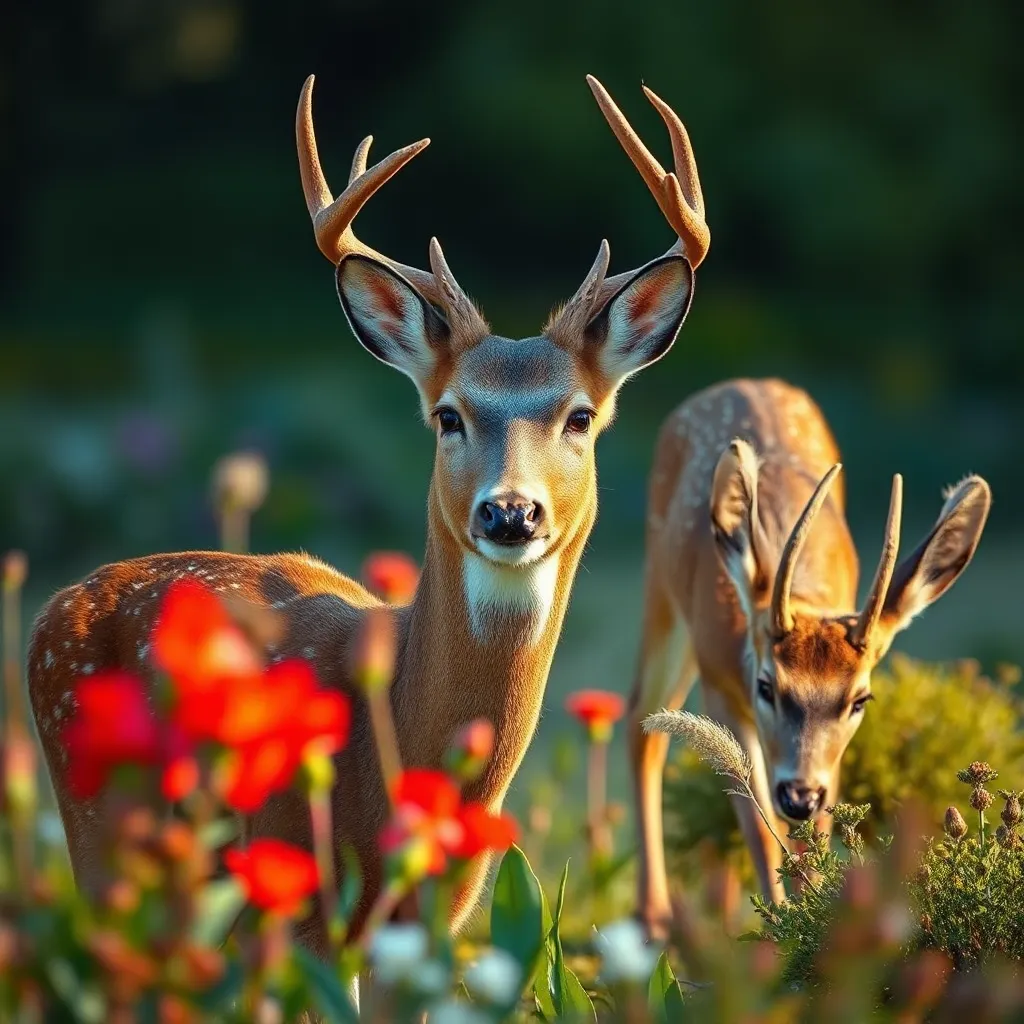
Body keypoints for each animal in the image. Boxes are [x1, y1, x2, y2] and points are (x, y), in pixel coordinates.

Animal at [27, 74, 710, 955]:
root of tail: (56, 604)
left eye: (580, 416)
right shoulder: (294, 892)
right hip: (103, 821)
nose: (511, 513)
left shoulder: (434, 915)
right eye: (448, 415)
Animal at [630, 377, 991, 937]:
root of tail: (742, 383)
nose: (800, 794)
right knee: (641, 724)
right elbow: (758, 827)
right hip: (661, 595)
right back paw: (655, 920)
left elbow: (809, 839)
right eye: (766, 685)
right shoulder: (720, 685)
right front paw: (779, 933)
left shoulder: (829, 760)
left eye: (860, 699)